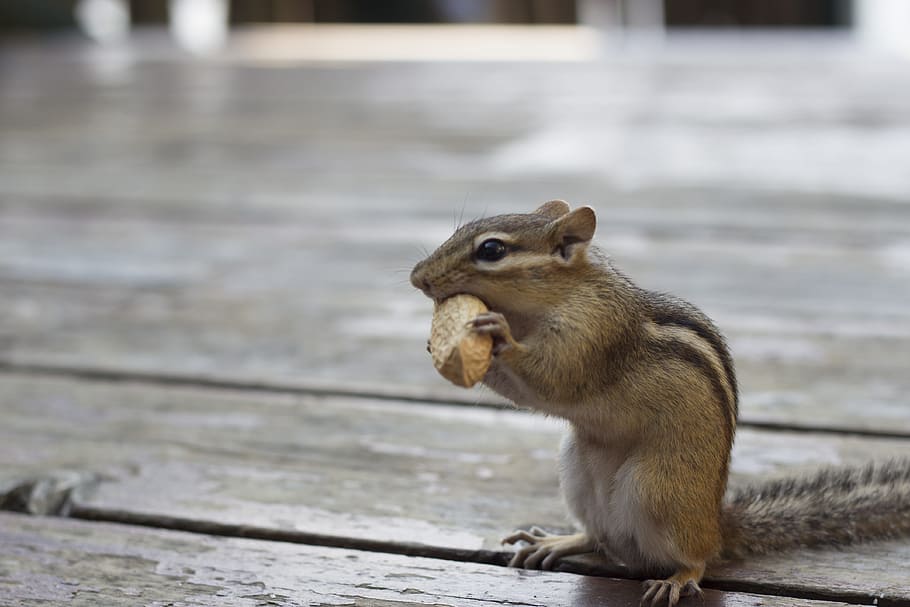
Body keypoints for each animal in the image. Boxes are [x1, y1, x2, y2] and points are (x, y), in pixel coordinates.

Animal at [410, 200, 910, 607]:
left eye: (492, 250)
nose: (417, 277)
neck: (563, 295)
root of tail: (717, 522)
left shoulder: (593, 337)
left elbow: (552, 380)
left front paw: (497, 336)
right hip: (576, 474)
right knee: (598, 538)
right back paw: (557, 541)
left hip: (658, 487)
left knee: (698, 557)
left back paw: (678, 578)